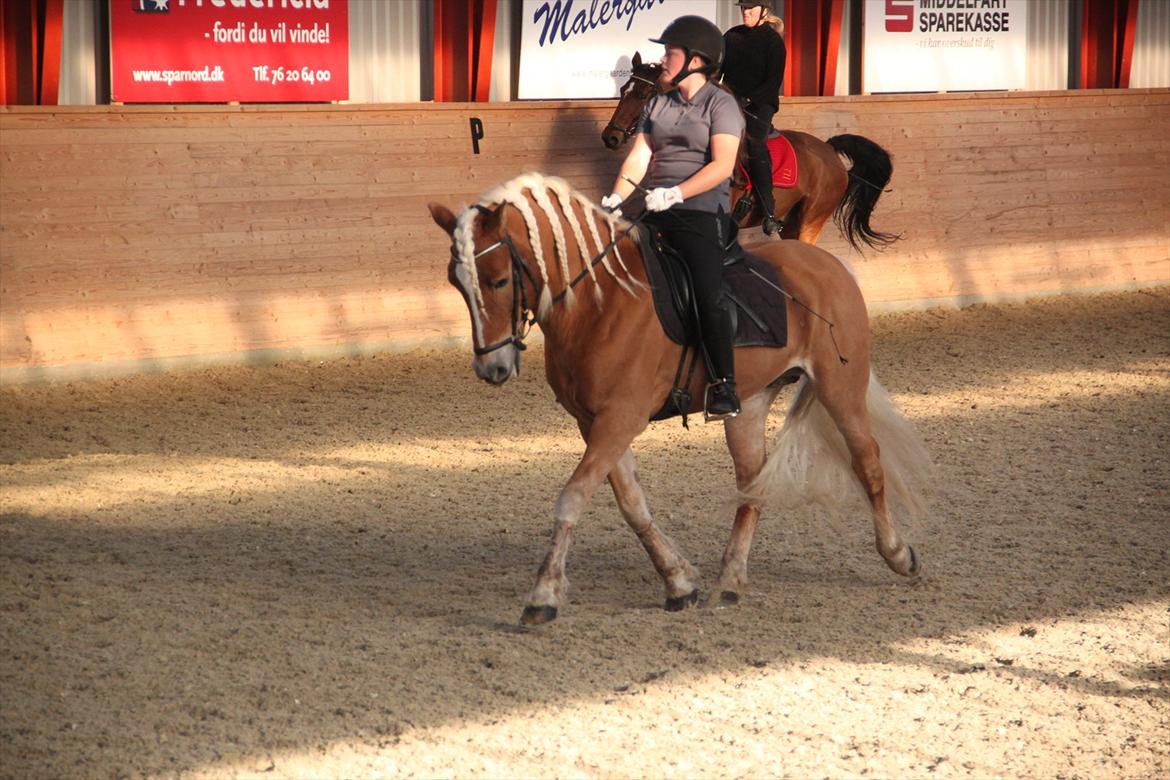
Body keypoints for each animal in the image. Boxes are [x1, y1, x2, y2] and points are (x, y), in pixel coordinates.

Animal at [430, 174, 931, 626]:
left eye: (498, 281)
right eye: (456, 282)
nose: (491, 369)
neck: (599, 302)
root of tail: (829, 263)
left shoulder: (621, 418)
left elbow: (572, 497)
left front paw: (543, 597)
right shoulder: (593, 422)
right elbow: (632, 503)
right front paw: (679, 582)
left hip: (839, 386)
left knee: (867, 461)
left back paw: (898, 555)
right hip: (748, 405)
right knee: (752, 485)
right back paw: (728, 582)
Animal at [603, 54, 893, 250]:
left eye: (643, 95)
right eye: (623, 90)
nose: (611, 137)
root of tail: (829, 150)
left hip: (811, 220)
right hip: (792, 223)